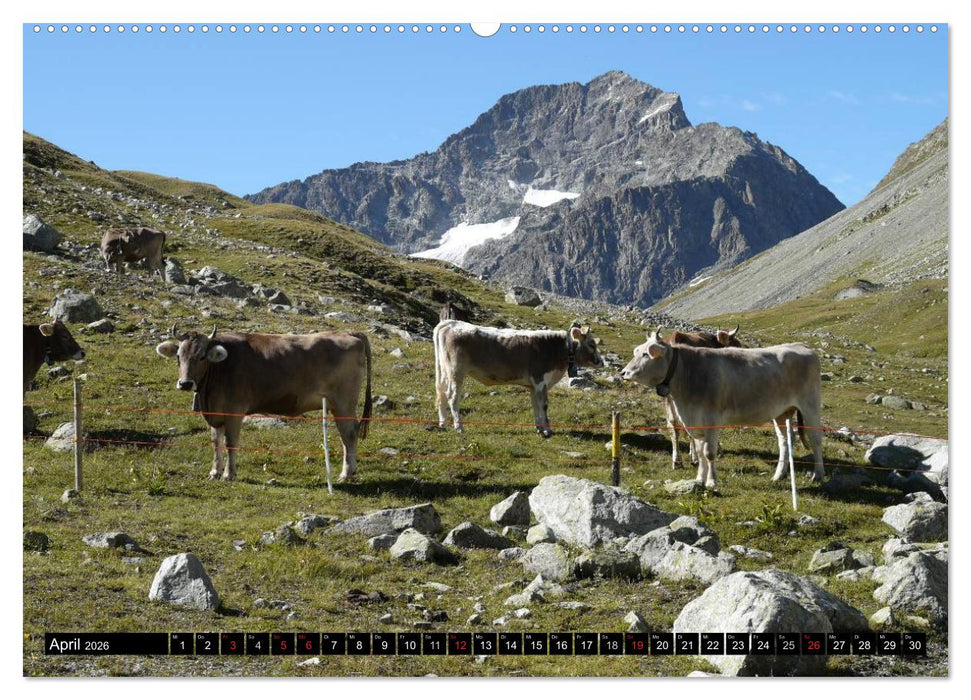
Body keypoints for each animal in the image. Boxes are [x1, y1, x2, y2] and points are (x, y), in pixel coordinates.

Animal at [156, 326, 372, 482]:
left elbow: (230, 443)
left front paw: (229, 474)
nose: (185, 383)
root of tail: (348, 332)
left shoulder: (235, 411)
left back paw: (346, 474)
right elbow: (216, 441)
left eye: (202, 357)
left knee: (349, 434)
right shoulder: (215, 414)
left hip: (344, 402)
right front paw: (214, 472)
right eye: (178, 356)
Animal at [434, 320, 603, 437]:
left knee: (441, 394)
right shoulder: (540, 380)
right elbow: (544, 405)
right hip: (456, 371)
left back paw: (443, 424)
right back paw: (459, 427)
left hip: (444, 371)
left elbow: (535, 405)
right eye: (591, 344)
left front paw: (539, 428)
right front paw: (548, 430)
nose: (601, 362)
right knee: (452, 396)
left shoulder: (533, 385)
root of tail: (450, 323)